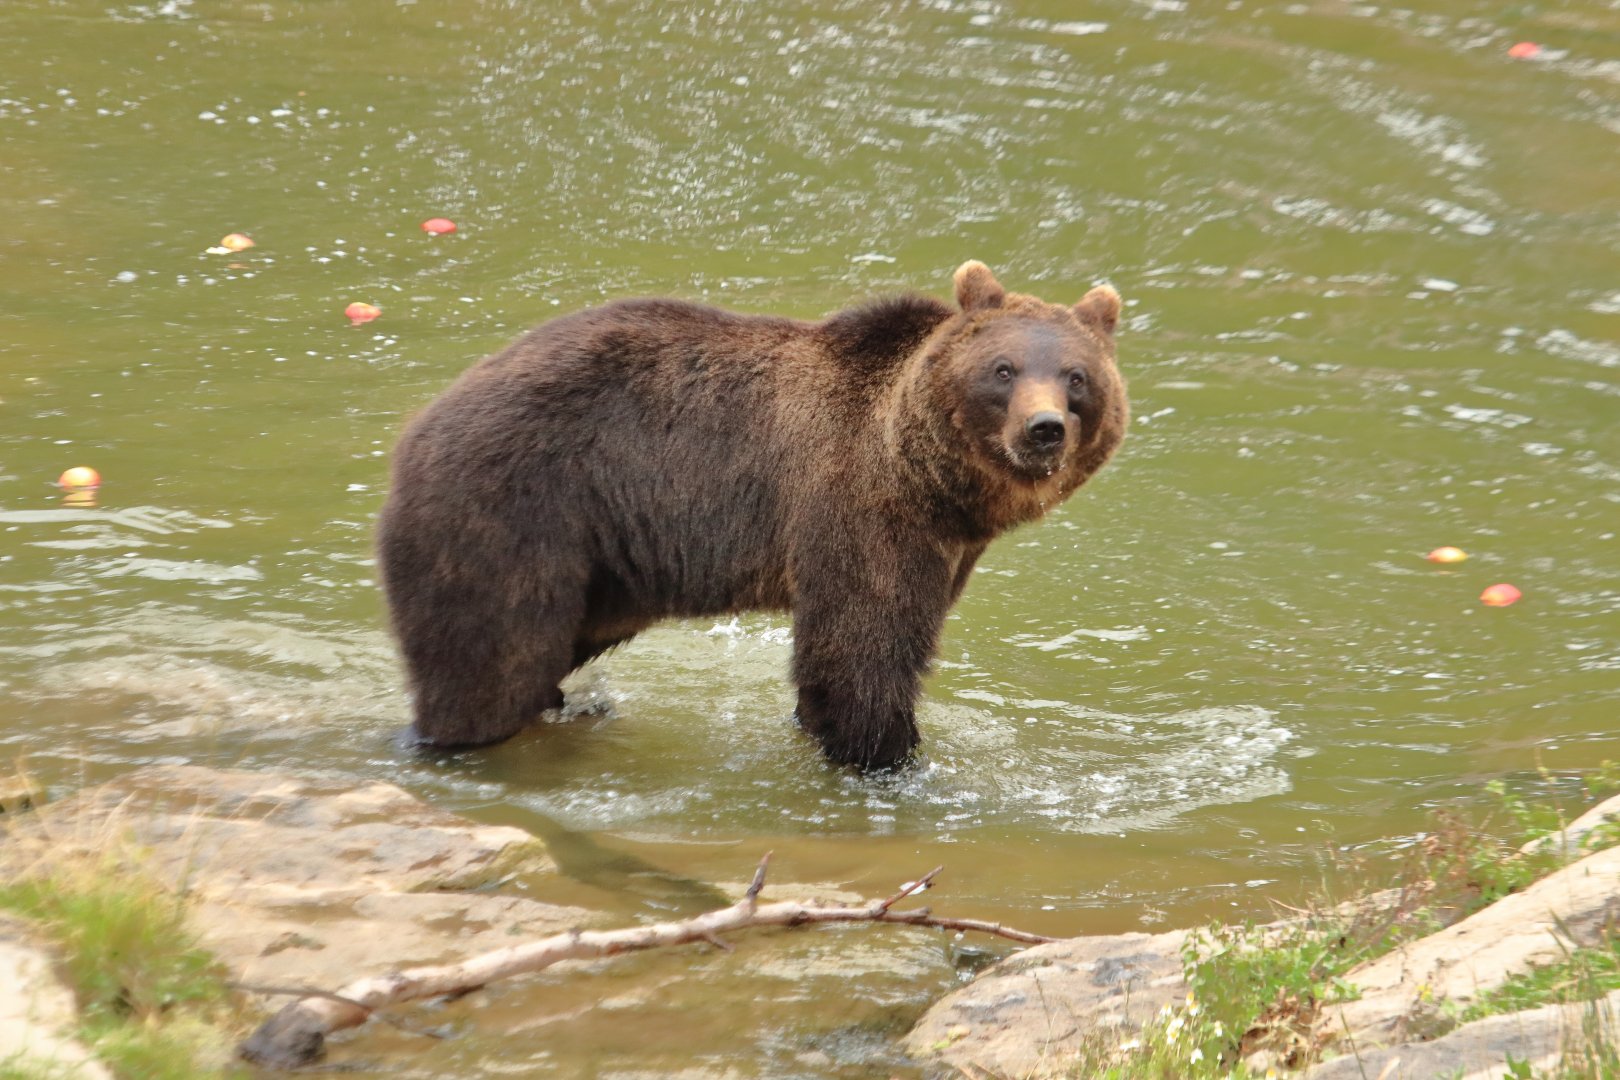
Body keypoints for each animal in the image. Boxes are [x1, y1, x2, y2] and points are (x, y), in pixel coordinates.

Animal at [376, 261, 1127, 771]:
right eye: (1003, 369)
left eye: (1077, 378)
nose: (1043, 429)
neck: (934, 485)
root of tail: (417, 426)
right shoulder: (858, 508)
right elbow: (861, 651)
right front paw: (889, 755)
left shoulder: (943, 547)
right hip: (513, 509)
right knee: (492, 657)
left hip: (601, 569)